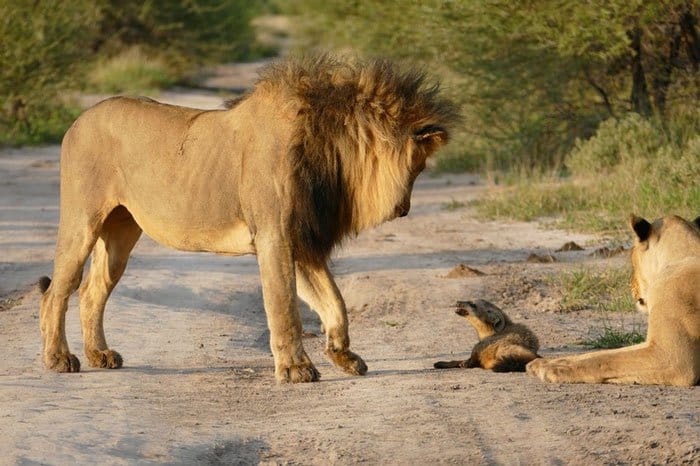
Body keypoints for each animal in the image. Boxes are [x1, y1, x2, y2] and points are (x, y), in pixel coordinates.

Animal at [39, 54, 460, 382]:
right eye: (420, 168)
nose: (404, 209)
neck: (332, 152)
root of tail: (79, 119)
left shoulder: (300, 240)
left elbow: (334, 303)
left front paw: (343, 357)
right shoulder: (275, 235)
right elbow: (284, 307)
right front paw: (295, 370)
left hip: (121, 231)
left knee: (92, 290)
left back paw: (100, 356)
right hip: (82, 220)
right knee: (57, 291)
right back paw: (59, 359)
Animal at [532, 215, 700, 386]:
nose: (630, 284)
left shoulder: (673, 357)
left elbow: (604, 361)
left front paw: (551, 369)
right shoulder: (652, 345)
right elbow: (603, 354)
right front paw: (547, 362)